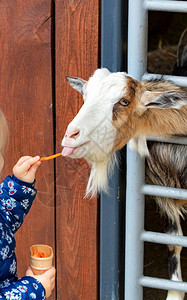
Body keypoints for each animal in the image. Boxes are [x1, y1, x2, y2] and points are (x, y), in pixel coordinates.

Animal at [62, 68, 186, 300]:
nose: (70, 136)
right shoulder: (166, 193)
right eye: (85, 96)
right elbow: (173, 240)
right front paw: (174, 294)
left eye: (124, 101)